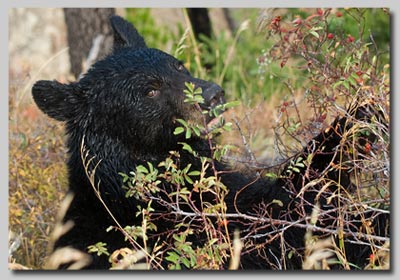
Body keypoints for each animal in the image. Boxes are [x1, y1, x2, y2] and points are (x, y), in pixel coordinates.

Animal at [32, 14, 390, 270]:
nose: (213, 94)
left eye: (179, 65)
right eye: (150, 90)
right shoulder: (181, 223)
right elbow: (283, 216)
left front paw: (366, 111)